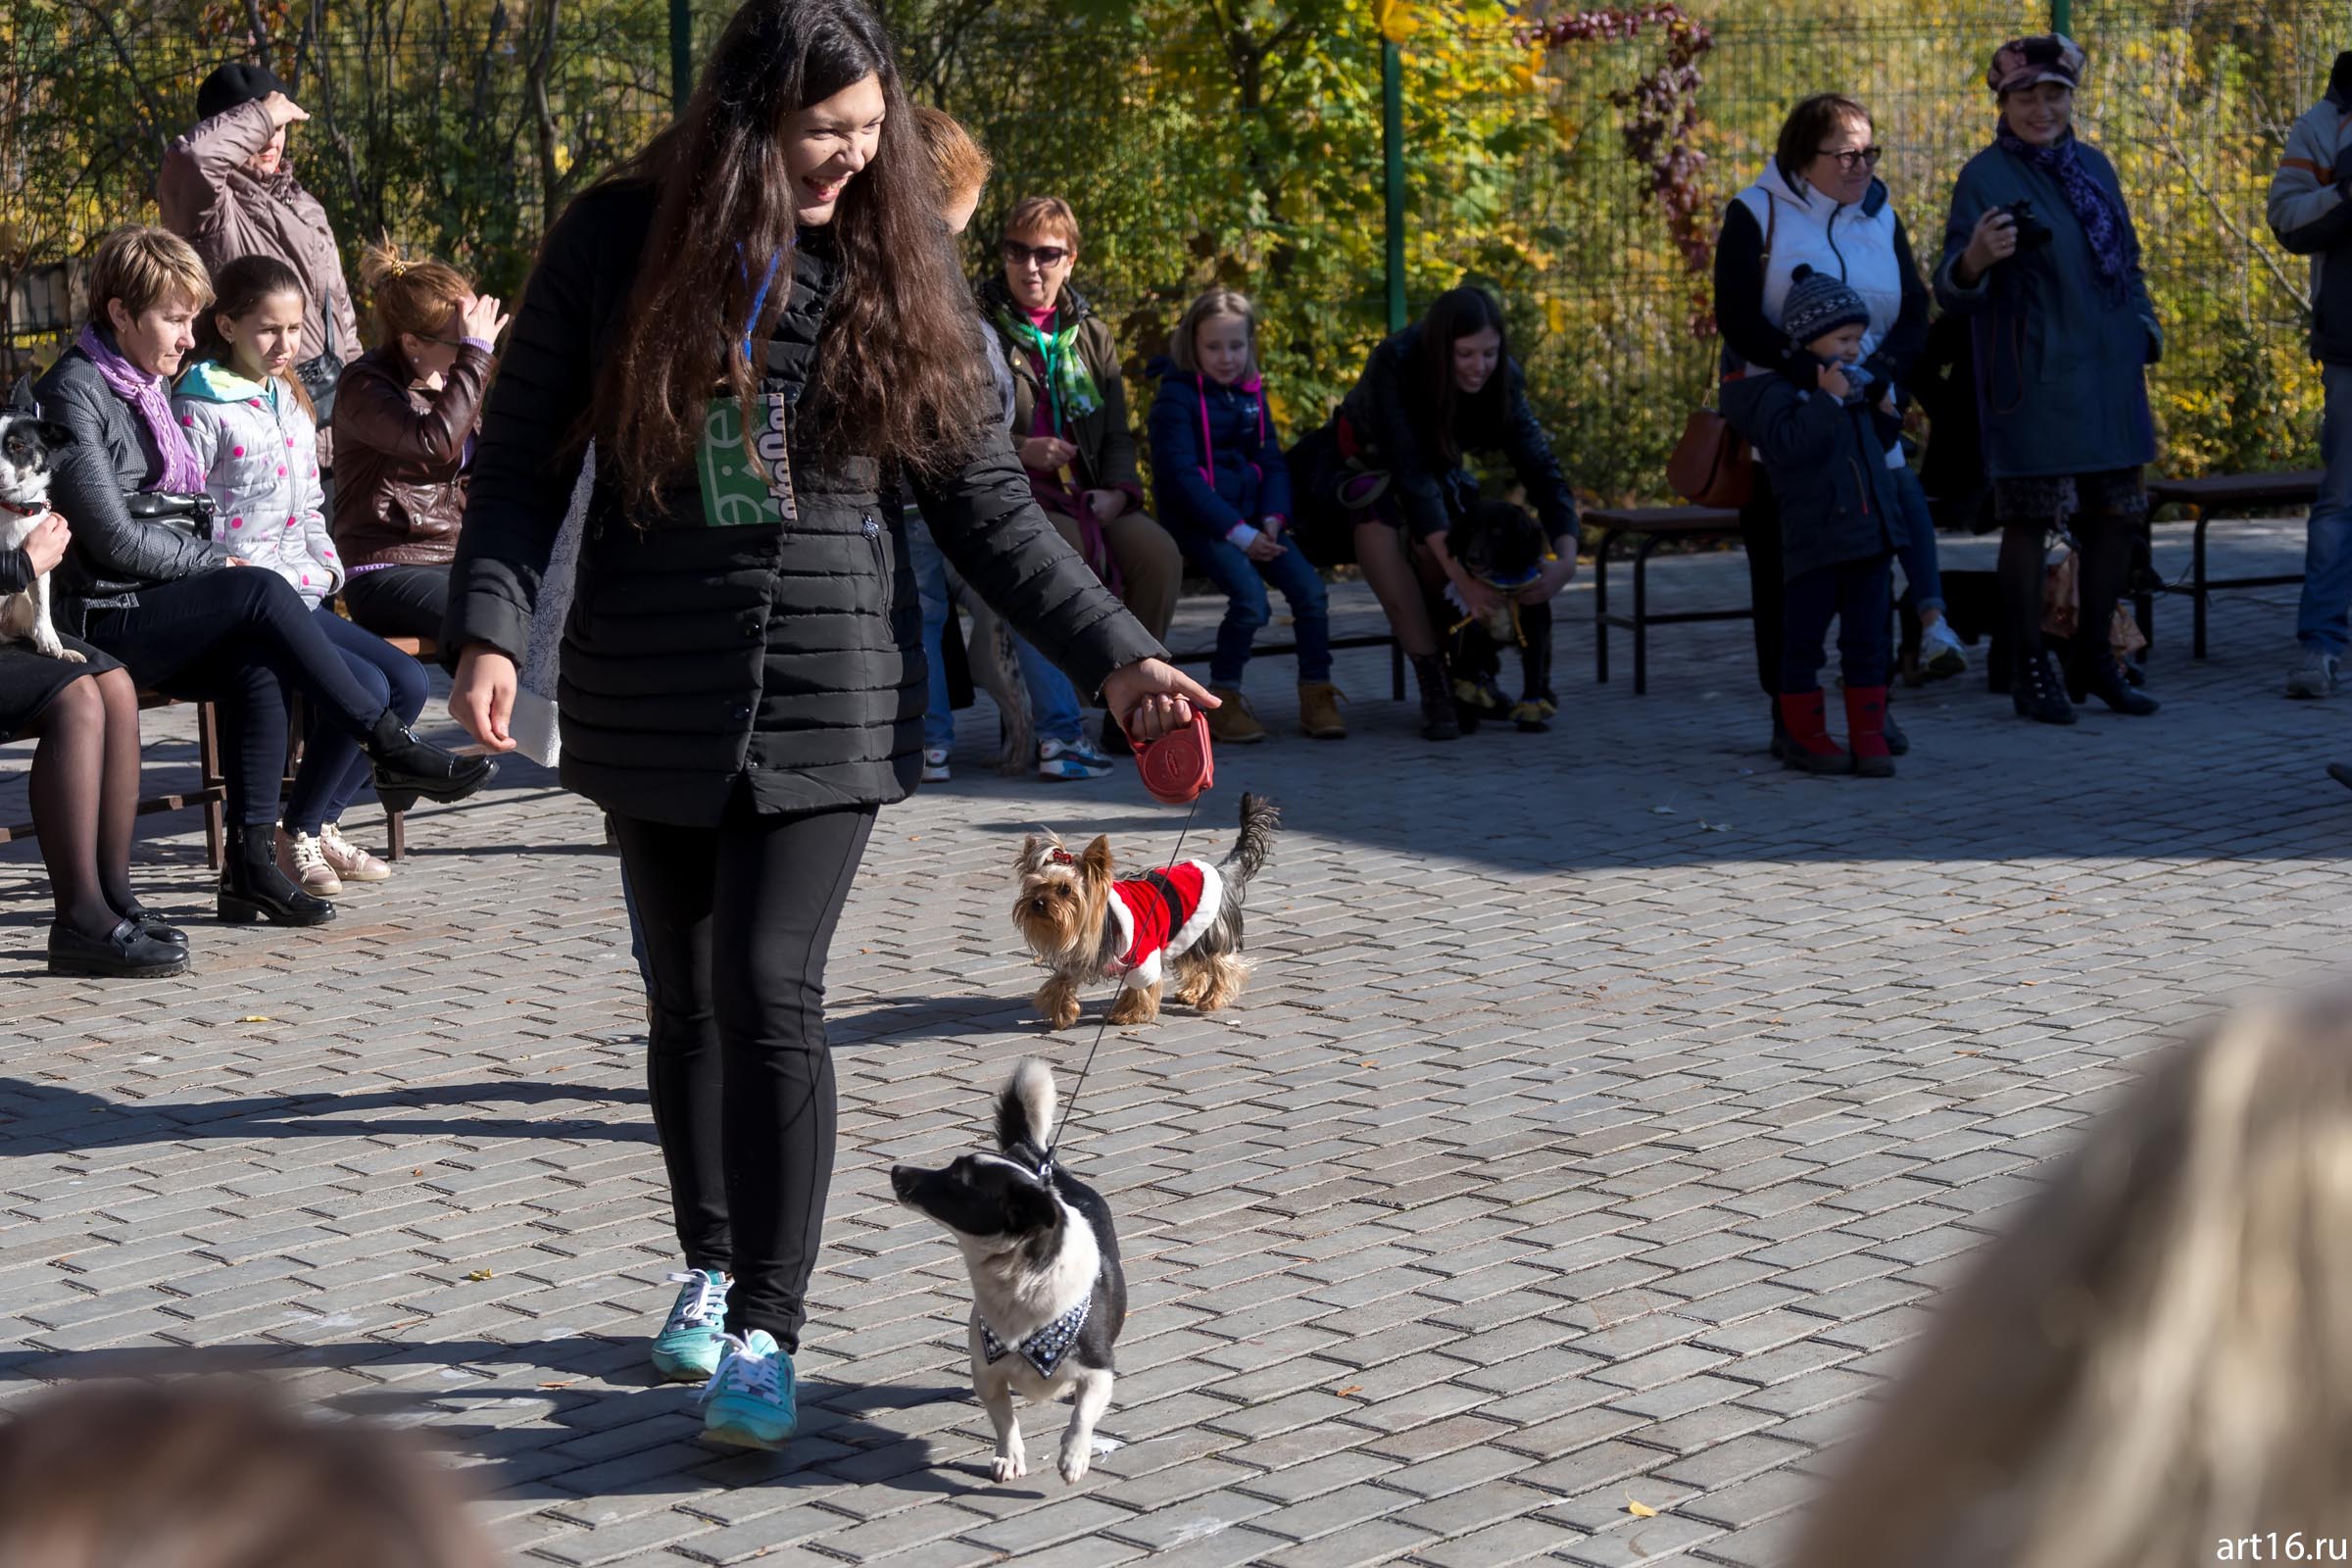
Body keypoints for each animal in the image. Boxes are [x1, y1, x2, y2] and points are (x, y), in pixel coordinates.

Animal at [0, 414, 81, 667]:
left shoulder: (40, 569)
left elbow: (43, 606)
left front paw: (49, 639)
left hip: (21, 600)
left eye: (17, 446)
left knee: (30, 629)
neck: (10, 507)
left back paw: (67, 651)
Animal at [889, 1062, 1129, 1494]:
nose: (897, 1169)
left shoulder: (1099, 1370)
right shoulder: (987, 1372)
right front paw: (1009, 1457)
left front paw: (1074, 1457)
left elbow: (1082, 1417)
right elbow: (1004, 1419)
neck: (1019, 1283)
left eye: (957, 1181)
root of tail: (1044, 1168)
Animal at [1430, 500, 1561, 733]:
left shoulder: (1535, 632)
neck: (1501, 586)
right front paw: (1466, 719)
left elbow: (1534, 672)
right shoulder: (1470, 634)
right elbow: (1469, 675)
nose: (1472, 557)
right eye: (1471, 529)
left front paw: (1531, 719)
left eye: (1497, 532)